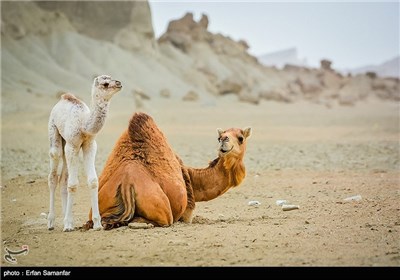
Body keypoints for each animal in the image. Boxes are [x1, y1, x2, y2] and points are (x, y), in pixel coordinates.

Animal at [47, 74, 122, 232]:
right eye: (105, 84)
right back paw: (51, 222)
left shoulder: (89, 145)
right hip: (55, 135)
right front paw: (67, 225)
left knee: (64, 178)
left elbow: (93, 181)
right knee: (53, 176)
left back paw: (67, 220)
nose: (119, 83)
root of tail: (62, 99)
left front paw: (97, 224)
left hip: (66, 144)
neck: (84, 124)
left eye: (111, 78)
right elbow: (73, 184)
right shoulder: (73, 145)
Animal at [85, 111, 250, 230]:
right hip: (161, 208)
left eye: (240, 137)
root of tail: (126, 183)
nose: (224, 140)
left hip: (100, 203)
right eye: (219, 137)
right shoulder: (187, 213)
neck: (190, 177)